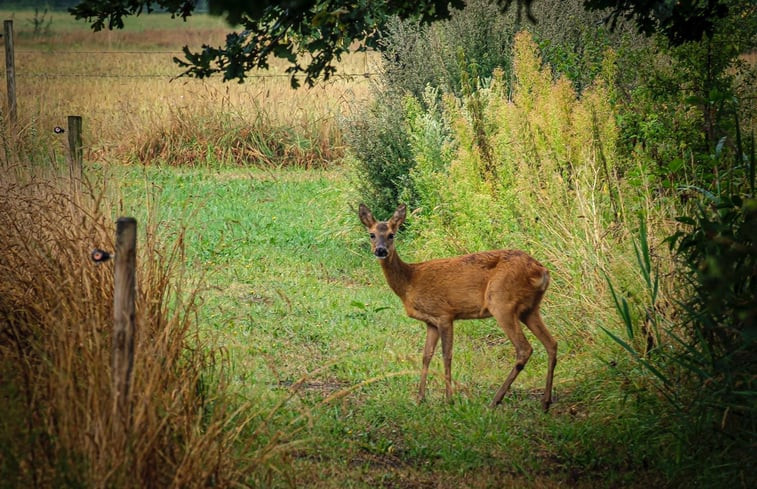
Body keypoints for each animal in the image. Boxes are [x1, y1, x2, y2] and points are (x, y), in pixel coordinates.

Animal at [358, 203, 560, 412]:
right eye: (372, 234)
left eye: (391, 234)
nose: (381, 250)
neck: (410, 281)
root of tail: (542, 271)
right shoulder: (430, 322)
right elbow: (426, 355)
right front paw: (420, 398)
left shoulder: (445, 314)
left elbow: (446, 355)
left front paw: (449, 399)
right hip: (530, 308)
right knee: (551, 343)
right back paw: (545, 402)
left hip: (501, 302)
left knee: (524, 349)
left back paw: (495, 401)